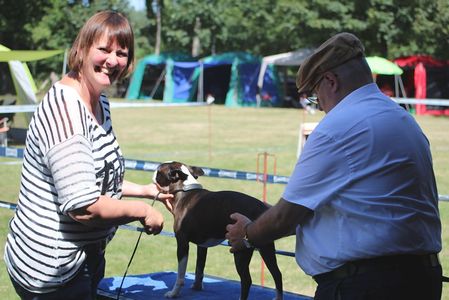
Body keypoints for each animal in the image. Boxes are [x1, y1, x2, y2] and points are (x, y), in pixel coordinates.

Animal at [152, 162, 282, 300]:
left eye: (159, 171)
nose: (154, 173)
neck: (184, 190)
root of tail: (262, 208)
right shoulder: (202, 246)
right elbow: (199, 267)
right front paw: (197, 287)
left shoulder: (182, 242)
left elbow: (180, 274)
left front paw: (174, 293)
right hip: (266, 248)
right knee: (277, 274)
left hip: (240, 250)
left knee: (247, 280)